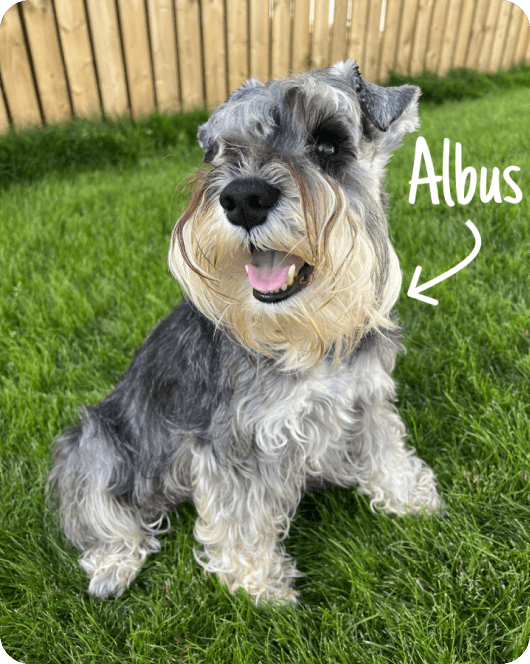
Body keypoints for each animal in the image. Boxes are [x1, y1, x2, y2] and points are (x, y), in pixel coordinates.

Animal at [48, 59, 438, 604]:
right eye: (228, 150)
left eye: (328, 145)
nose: (243, 197)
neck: (304, 337)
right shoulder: (233, 443)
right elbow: (242, 517)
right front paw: (260, 583)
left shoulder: (366, 397)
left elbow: (385, 446)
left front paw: (409, 494)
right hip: (94, 441)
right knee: (100, 512)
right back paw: (113, 565)